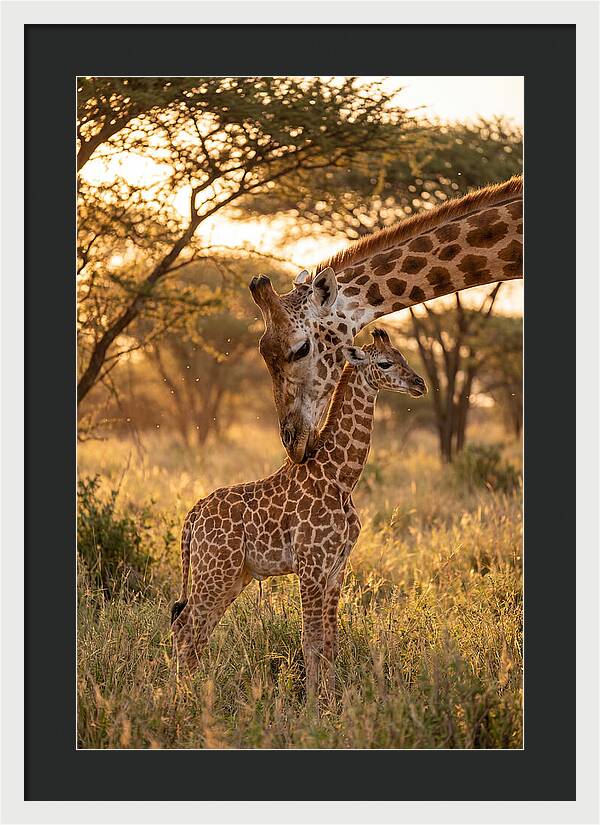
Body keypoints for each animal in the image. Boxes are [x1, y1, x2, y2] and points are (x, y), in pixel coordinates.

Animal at [171, 329, 426, 699]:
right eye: (385, 363)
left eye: (403, 356)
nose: (419, 384)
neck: (340, 477)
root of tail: (192, 517)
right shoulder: (310, 565)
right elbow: (311, 641)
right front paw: (312, 705)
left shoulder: (336, 568)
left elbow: (331, 642)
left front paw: (332, 702)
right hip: (215, 570)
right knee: (185, 627)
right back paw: (181, 701)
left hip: (233, 575)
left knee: (197, 629)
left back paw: (194, 695)